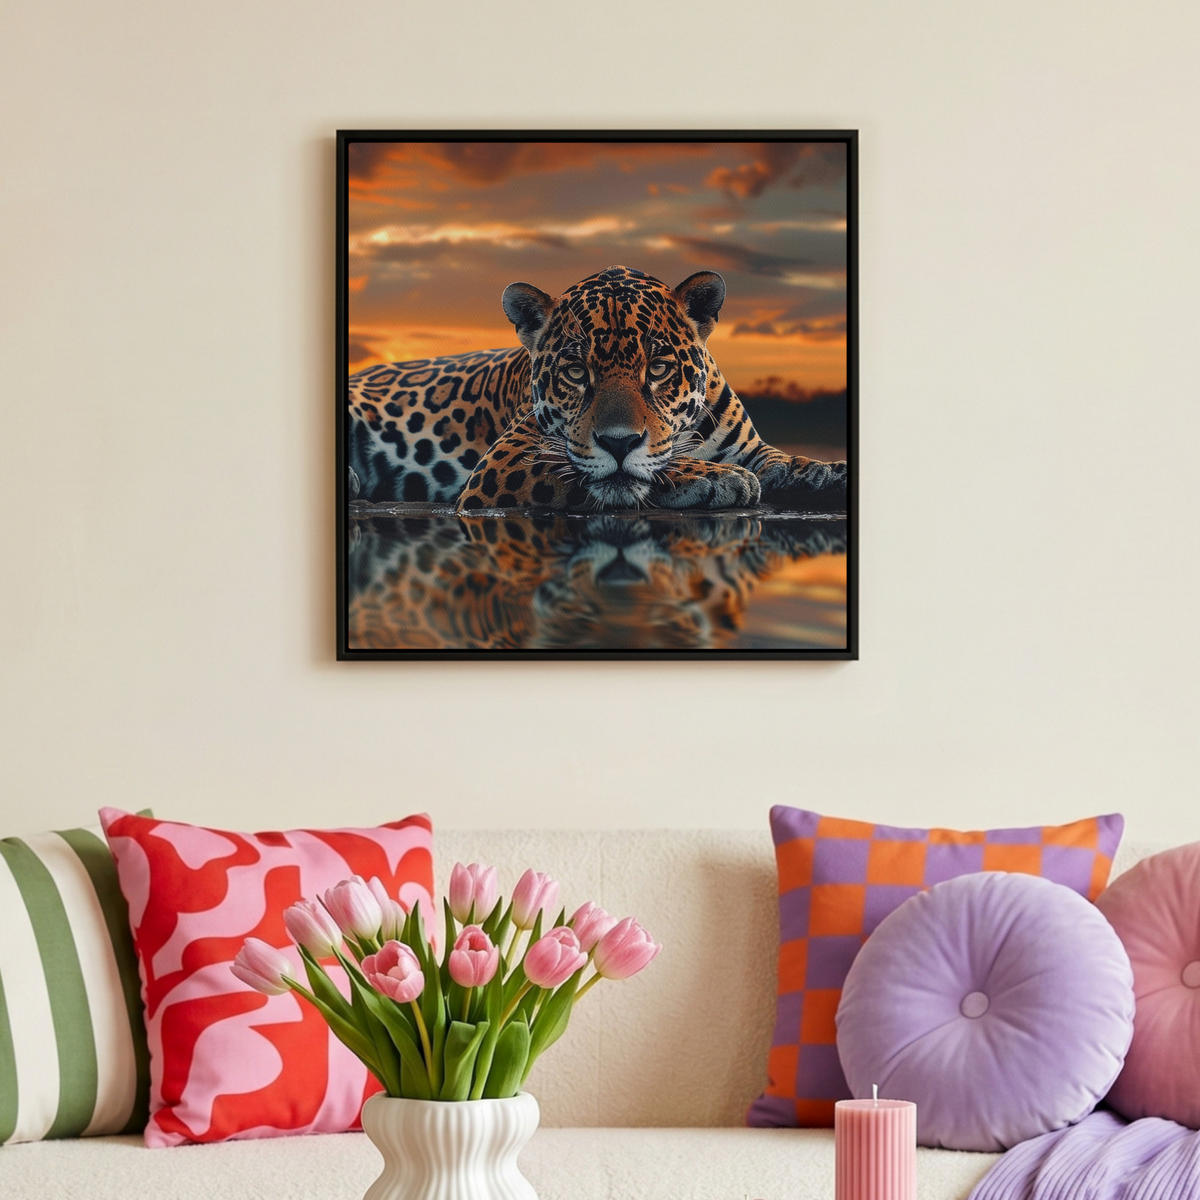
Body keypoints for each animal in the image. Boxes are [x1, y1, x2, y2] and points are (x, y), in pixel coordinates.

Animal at [347, 265, 847, 513]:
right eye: (575, 372)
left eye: (658, 368)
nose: (618, 443)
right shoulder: (505, 461)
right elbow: (627, 471)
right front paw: (716, 477)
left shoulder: (751, 448)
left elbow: (786, 460)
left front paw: (829, 472)